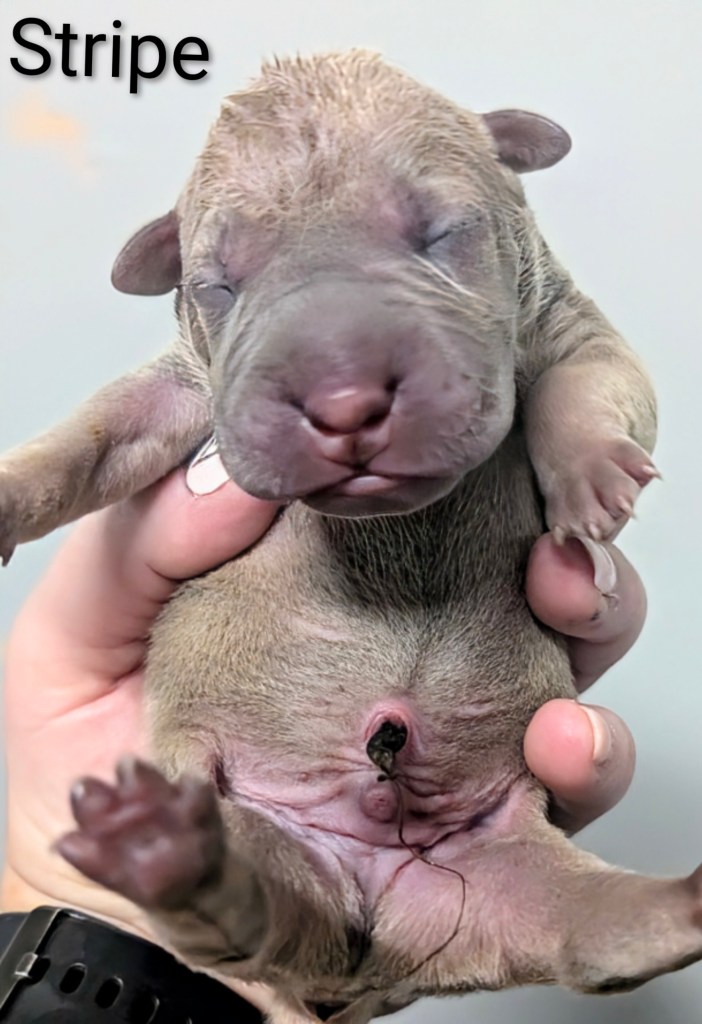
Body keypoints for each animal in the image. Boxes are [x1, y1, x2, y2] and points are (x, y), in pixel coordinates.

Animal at [1, 50, 697, 1024]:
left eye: (439, 234)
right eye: (218, 285)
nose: (343, 401)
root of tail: (373, 933)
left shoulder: (565, 319)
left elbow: (596, 382)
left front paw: (592, 473)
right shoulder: (184, 388)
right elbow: (94, 435)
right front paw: (4, 493)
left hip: (513, 880)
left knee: (599, 933)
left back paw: (686, 898)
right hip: (260, 835)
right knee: (242, 911)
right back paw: (164, 854)